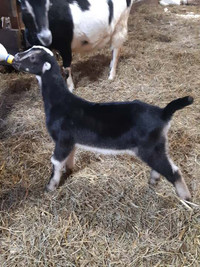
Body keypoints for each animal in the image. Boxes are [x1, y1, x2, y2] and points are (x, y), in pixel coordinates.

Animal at [12, 46, 192, 201]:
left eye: (33, 57)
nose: (15, 58)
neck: (60, 102)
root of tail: (163, 113)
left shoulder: (62, 139)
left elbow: (56, 162)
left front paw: (50, 187)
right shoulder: (71, 142)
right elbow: (69, 157)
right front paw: (69, 171)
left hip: (149, 147)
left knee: (174, 171)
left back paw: (185, 197)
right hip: (158, 146)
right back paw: (154, 181)